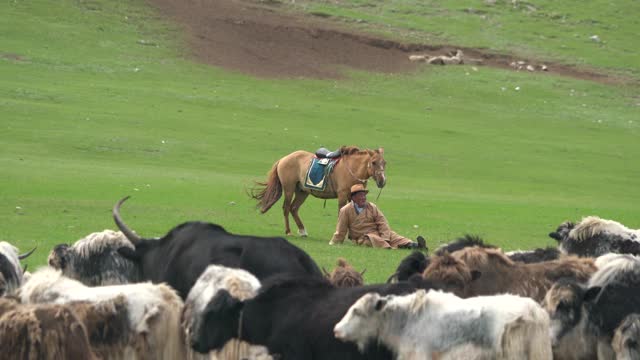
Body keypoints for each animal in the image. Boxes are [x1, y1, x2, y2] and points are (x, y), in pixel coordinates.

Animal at [252, 146, 388, 236]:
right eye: (373, 162)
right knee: (286, 208)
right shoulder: (342, 195)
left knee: (293, 208)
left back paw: (302, 230)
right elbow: (341, 212)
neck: (352, 168)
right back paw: (288, 231)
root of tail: (284, 159)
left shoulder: (354, 196)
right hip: (289, 189)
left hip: (302, 191)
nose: (382, 181)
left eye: (384, 163)